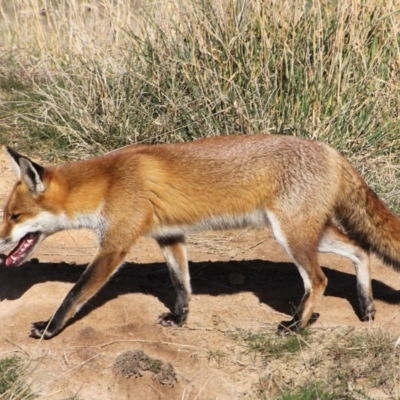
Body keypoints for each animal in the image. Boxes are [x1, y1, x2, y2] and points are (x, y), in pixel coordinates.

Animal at [0, 134, 396, 338]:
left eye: (14, 216)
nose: (0, 242)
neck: (108, 183)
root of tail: (331, 151)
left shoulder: (114, 246)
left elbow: (74, 293)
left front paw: (50, 329)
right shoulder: (170, 237)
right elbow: (182, 285)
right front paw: (180, 319)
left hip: (292, 237)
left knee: (320, 279)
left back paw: (297, 325)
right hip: (308, 233)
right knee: (360, 250)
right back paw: (366, 306)